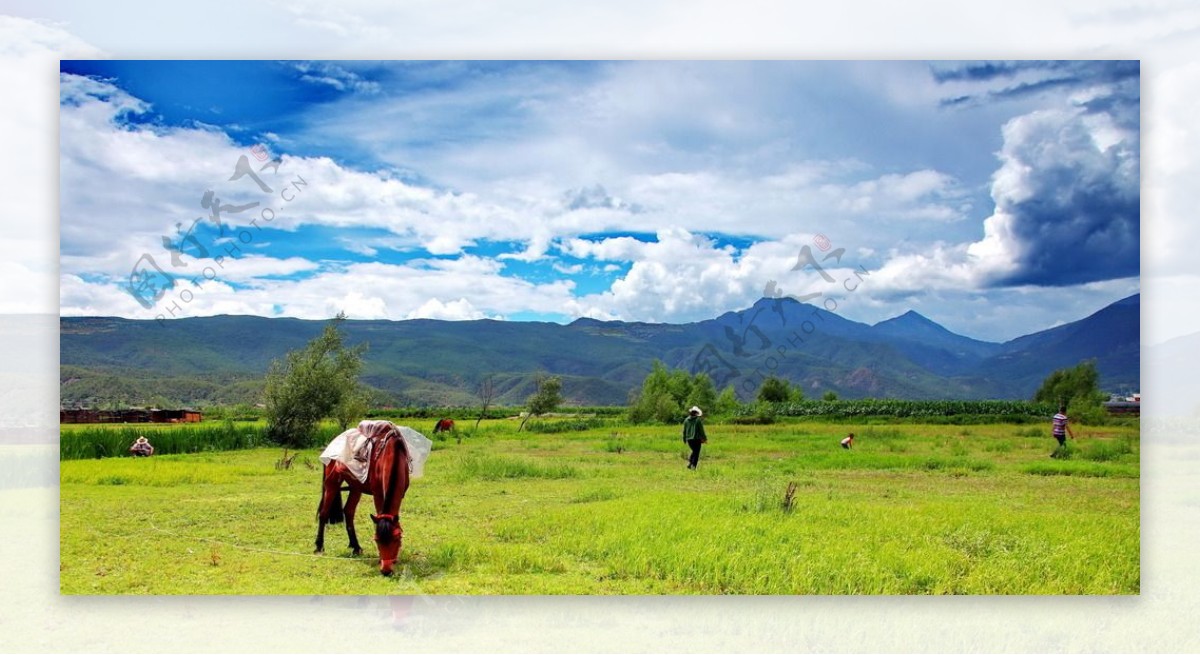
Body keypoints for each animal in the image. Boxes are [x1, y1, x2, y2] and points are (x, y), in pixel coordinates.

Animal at [314, 419, 412, 573]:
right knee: (324, 513)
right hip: (332, 484)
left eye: (396, 539)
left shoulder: (400, 494)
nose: (386, 570)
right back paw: (319, 546)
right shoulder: (378, 494)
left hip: (356, 487)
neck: (392, 453)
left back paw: (355, 547)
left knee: (348, 511)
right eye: (376, 540)